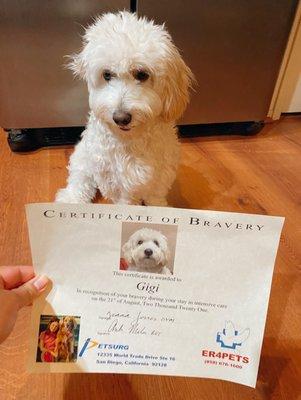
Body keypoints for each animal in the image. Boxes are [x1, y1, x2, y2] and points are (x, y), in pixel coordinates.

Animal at [55, 12, 192, 206]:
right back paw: (72, 199)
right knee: (80, 179)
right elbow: (125, 202)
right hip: (83, 158)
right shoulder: (116, 181)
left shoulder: (161, 175)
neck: (130, 140)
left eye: (142, 74)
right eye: (107, 74)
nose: (121, 118)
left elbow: (155, 196)